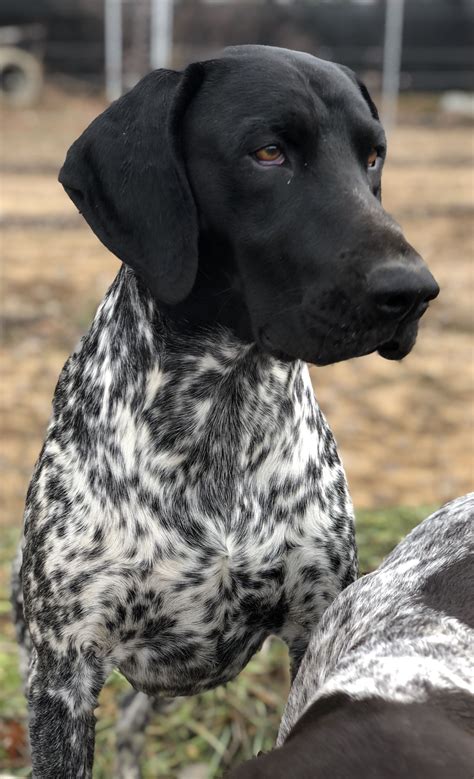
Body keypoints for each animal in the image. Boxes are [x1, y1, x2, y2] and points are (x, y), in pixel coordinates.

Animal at [12, 45, 440, 776]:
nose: (414, 291)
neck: (221, 409)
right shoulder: (63, 676)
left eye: (374, 157)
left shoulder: (315, 625)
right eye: (268, 153)